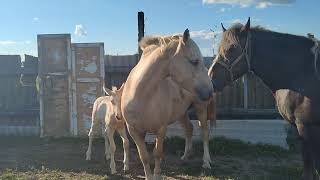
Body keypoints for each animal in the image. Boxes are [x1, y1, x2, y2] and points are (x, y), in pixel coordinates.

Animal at [121, 28, 214, 179]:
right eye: (194, 61)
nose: (210, 92)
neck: (141, 95)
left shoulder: (161, 129)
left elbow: (157, 154)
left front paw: (157, 175)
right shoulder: (135, 131)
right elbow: (144, 156)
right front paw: (148, 176)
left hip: (200, 108)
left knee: (204, 132)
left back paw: (206, 162)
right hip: (182, 112)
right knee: (189, 129)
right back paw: (185, 157)